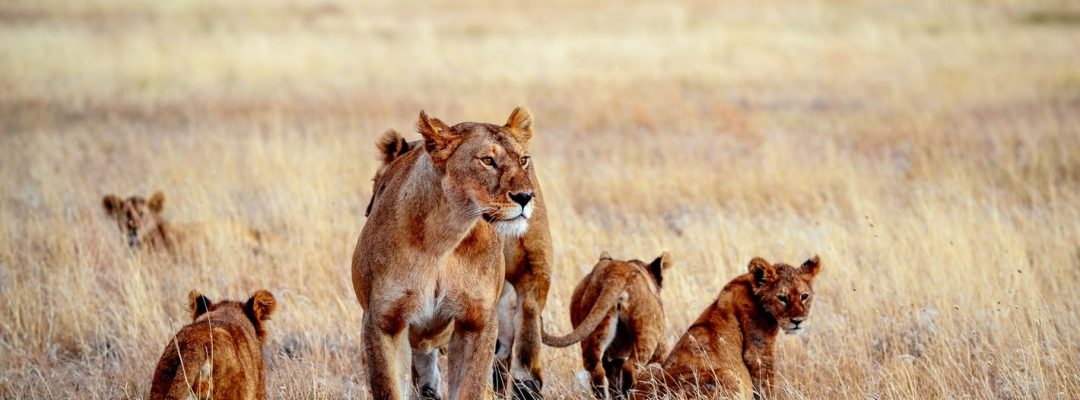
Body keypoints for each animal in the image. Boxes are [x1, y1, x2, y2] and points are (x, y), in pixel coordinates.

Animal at [353, 107, 539, 400]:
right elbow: (388, 387)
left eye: (524, 160)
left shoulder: (477, 321)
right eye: (487, 160)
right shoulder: (383, 322)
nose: (526, 197)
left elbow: (471, 387)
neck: (445, 236)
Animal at [541, 251, 673, 399]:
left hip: (595, 329)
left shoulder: (614, 358)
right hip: (648, 333)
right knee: (630, 367)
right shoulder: (660, 347)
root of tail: (615, 271)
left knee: (596, 371)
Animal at [633, 256, 821, 400]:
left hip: (651, 367)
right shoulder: (758, 352)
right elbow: (767, 385)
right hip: (728, 375)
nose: (797, 321)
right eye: (782, 297)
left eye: (804, 296)